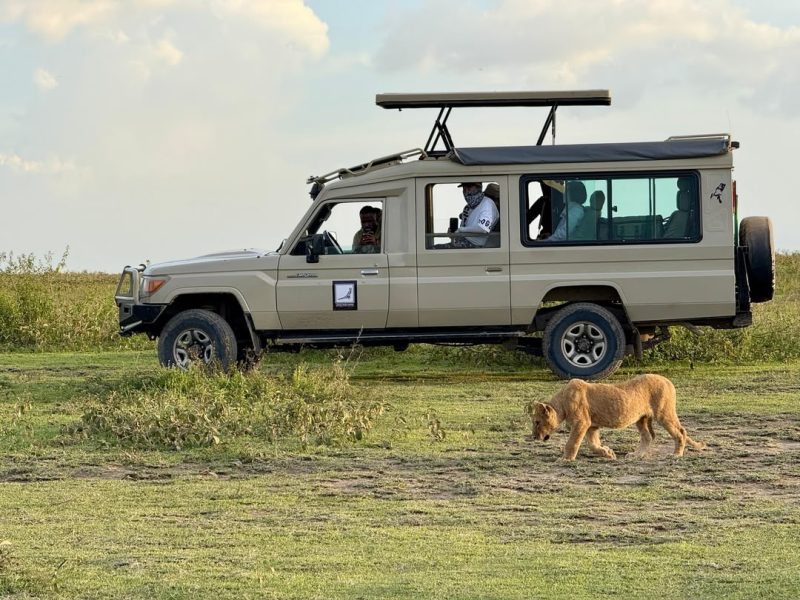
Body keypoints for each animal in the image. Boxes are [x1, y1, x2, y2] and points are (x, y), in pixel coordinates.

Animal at [530, 374, 706, 460]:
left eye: (537, 422)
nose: (534, 437)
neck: (562, 404)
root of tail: (669, 382)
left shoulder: (581, 423)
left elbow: (572, 443)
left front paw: (565, 459)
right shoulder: (591, 425)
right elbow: (593, 444)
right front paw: (608, 453)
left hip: (664, 413)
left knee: (681, 432)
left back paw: (676, 455)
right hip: (641, 419)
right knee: (648, 437)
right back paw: (635, 455)